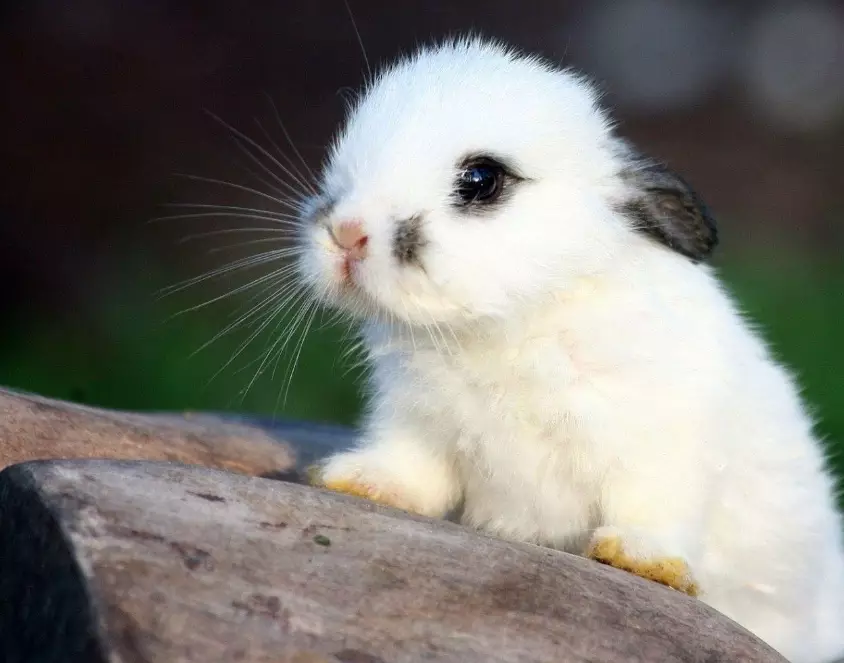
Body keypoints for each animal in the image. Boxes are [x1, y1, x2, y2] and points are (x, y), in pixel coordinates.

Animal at [294, 37, 844, 663]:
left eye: (481, 179)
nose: (346, 233)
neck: (509, 324)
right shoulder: (416, 423)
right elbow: (412, 470)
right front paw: (356, 480)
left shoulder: (662, 444)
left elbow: (653, 504)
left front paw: (639, 559)